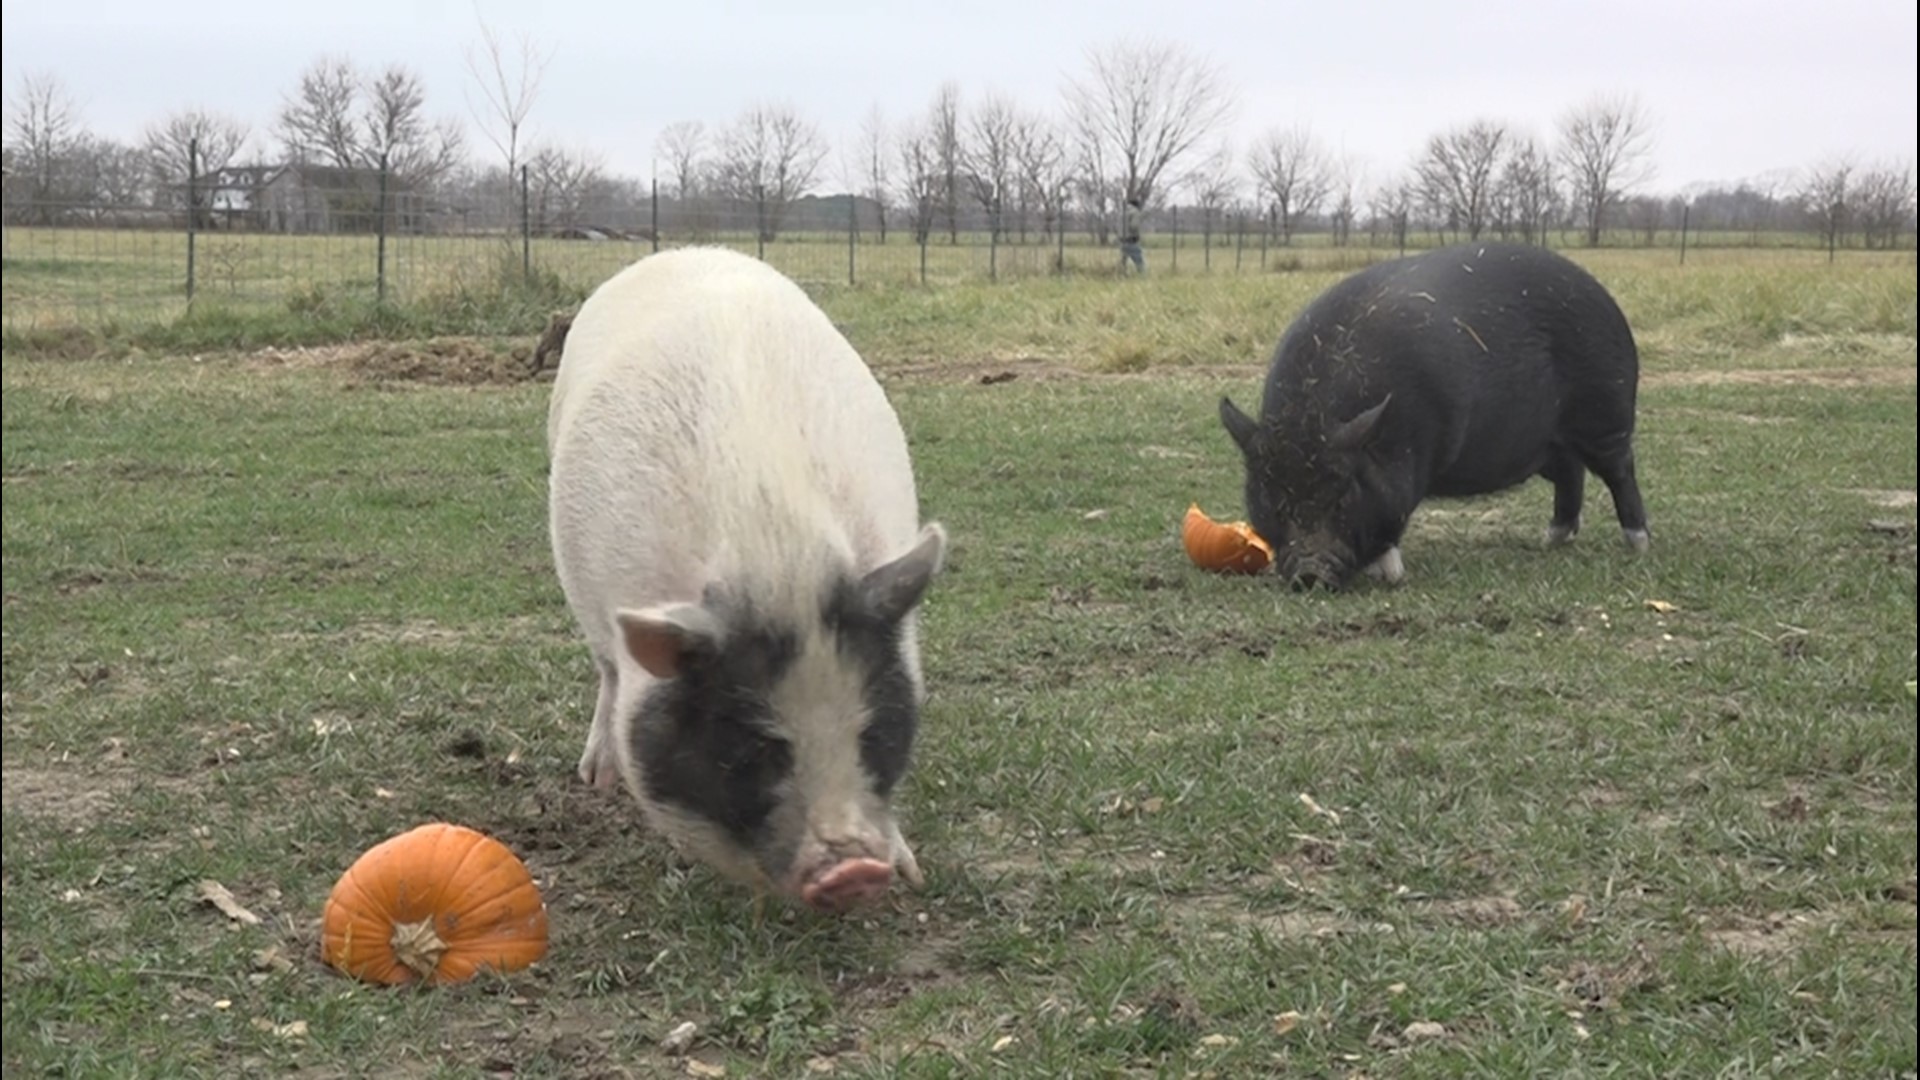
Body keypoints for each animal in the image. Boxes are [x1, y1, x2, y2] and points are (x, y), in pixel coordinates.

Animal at [545, 244, 948, 907]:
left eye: (872, 731)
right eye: (757, 746)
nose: (856, 870)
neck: (777, 549)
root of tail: (687, 251)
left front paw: (912, 875)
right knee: (605, 671)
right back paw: (596, 777)